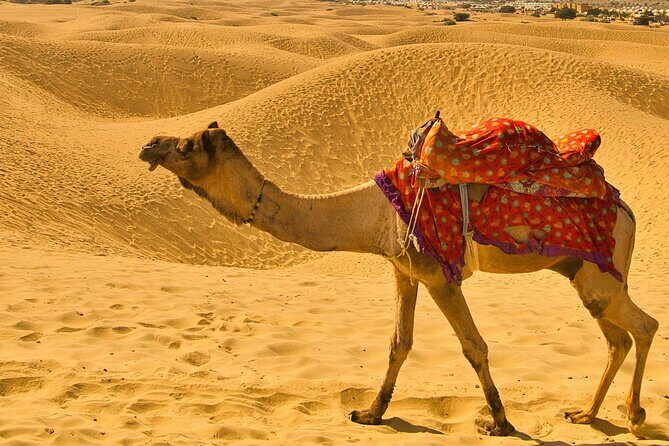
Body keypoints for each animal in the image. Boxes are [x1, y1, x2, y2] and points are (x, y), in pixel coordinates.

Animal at [139, 122, 658, 437]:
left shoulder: (440, 275)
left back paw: (634, 417)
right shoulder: (403, 270)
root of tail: (627, 210)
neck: (371, 213)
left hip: (602, 271)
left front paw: (500, 423)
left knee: (644, 326)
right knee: (617, 337)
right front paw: (370, 413)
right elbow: (398, 343)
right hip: (583, 273)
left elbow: (474, 347)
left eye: (185, 147)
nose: (149, 144)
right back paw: (587, 414)